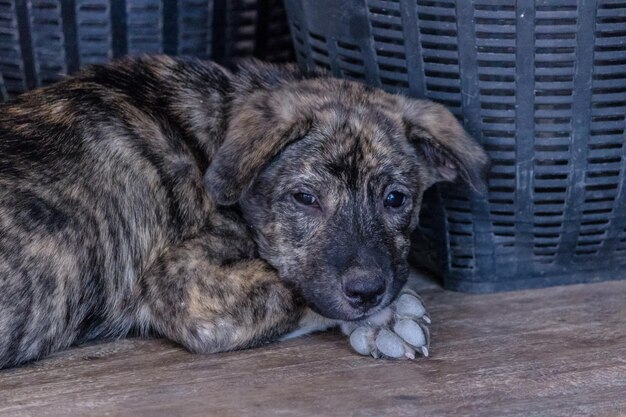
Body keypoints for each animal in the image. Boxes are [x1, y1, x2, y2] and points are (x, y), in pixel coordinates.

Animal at [0, 56, 488, 368]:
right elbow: (290, 289)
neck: (211, 137)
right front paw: (386, 318)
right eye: (305, 198)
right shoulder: (187, 285)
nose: (368, 292)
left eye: (395, 199)